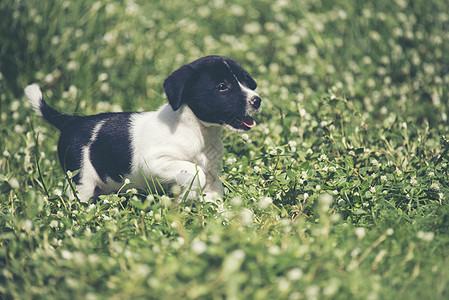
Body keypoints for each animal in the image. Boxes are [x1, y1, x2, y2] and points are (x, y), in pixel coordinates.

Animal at [24, 55, 260, 205]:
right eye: (222, 86)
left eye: (246, 81)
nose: (257, 100)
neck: (197, 131)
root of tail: (70, 121)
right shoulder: (155, 162)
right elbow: (194, 172)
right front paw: (189, 194)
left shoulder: (212, 173)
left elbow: (213, 191)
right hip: (80, 180)